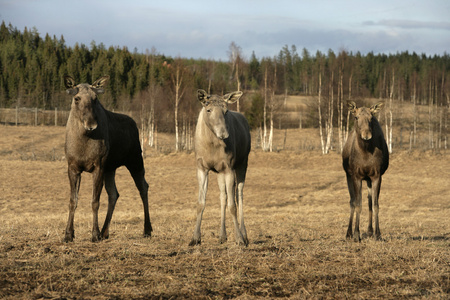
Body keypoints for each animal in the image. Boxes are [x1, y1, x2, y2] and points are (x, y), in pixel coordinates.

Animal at [62, 76, 153, 243]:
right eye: (76, 98)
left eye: (95, 98)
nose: (91, 124)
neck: (83, 140)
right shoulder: (73, 166)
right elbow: (73, 201)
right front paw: (68, 234)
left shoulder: (98, 166)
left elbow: (95, 201)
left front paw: (94, 234)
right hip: (111, 168)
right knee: (114, 194)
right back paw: (105, 231)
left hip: (135, 160)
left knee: (143, 187)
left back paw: (147, 229)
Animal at [189, 89, 251, 246]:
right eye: (208, 109)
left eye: (226, 110)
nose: (223, 133)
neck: (212, 145)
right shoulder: (202, 167)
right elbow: (200, 202)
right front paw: (195, 238)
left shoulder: (229, 167)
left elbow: (233, 205)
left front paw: (239, 238)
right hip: (219, 172)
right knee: (223, 196)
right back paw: (222, 236)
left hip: (243, 163)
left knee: (239, 194)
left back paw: (244, 234)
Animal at [342, 102, 388, 243]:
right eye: (356, 117)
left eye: (371, 118)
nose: (366, 135)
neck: (366, 152)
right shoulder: (356, 176)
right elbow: (357, 204)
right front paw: (356, 234)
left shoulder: (376, 175)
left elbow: (375, 204)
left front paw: (378, 234)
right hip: (348, 175)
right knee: (352, 201)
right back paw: (348, 233)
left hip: (367, 179)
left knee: (369, 202)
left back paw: (369, 231)